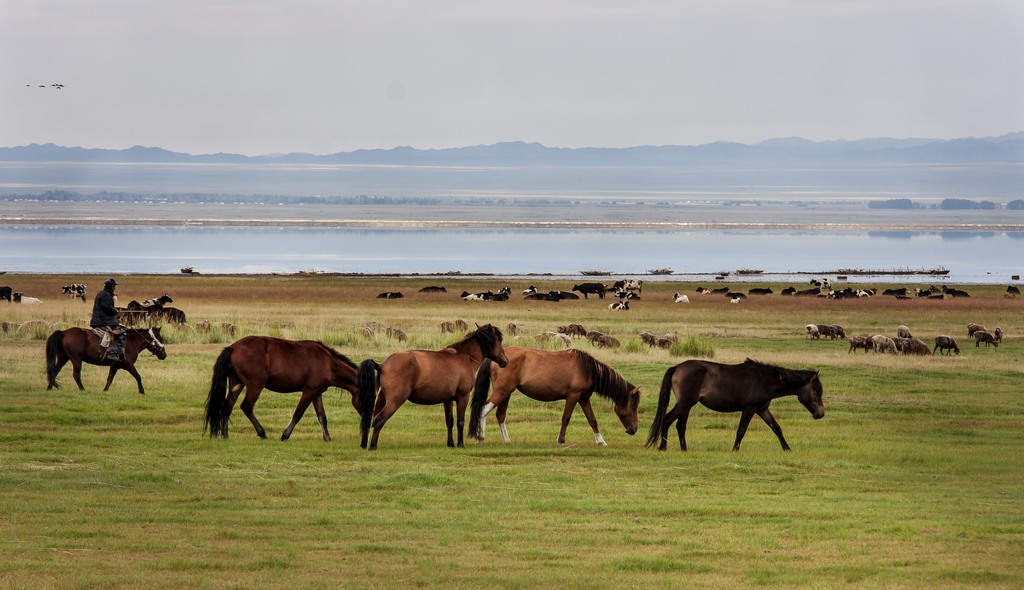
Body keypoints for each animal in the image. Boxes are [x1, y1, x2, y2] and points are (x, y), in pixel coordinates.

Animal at [202, 335, 360, 442]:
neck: (327, 362)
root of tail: (233, 347)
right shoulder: (308, 392)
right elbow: (298, 414)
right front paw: (285, 435)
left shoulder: (316, 393)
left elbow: (322, 416)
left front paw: (327, 437)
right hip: (255, 386)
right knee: (246, 406)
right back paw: (262, 433)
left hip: (237, 384)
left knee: (227, 407)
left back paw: (225, 435)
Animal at [356, 325, 507, 448]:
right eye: (499, 341)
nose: (506, 361)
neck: (464, 357)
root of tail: (382, 364)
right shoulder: (463, 397)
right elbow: (460, 421)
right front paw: (460, 444)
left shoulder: (447, 400)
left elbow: (449, 421)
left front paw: (450, 443)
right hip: (395, 401)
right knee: (379, 419)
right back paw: (373, 445)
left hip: (381, 399)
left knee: (369, 419)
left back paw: (364, 444)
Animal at [468, 348, 638, 444]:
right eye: (633, 406)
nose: (633, 429)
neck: (588, 369)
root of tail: (496, 358)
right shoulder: (573, 396)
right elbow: (566, 418)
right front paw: (560, 440)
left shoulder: (584, 399)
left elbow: (592, 420)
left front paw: (601, 441)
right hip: (502, 391)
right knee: (484, 410)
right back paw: (480, 438)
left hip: (507, 392)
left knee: (500, 415)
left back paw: (506, 441)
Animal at [647, 360, 823, 450]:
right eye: (816, 391)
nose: (821, 414)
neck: (765, 379)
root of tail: (676, 367)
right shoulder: (750, 408)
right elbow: (741, 430)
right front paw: (735, 449)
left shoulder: (762, 409)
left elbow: (776, 428)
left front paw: (787, 448)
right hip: (684, 404)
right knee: (667, 420)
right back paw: (662, 447)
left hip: (686, 405)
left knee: (680, 426)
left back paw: (684, 449)